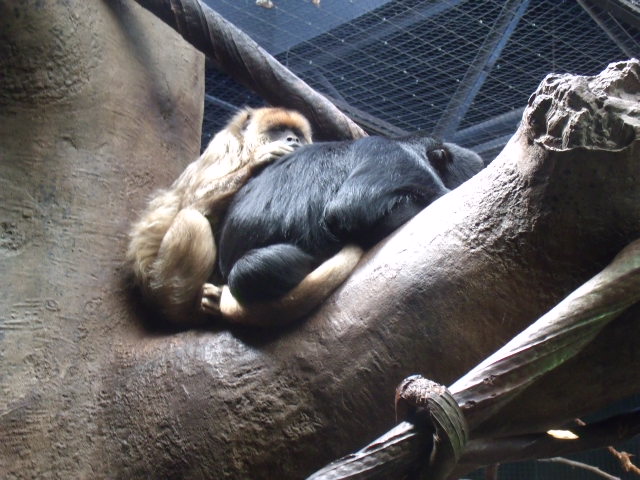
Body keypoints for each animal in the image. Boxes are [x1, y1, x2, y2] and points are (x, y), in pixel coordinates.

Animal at [126, 106, 312, 326]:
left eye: (298, 133)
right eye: (279, 130)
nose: (293, 139)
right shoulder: (224, 145)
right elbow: (191, 201)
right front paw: (257, 162)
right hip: (160, 284)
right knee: (191, 220)